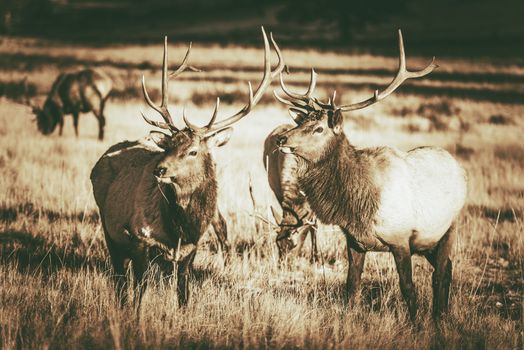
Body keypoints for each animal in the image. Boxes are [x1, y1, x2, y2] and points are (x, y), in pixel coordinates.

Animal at [91, 28, 286, 306]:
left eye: (193, 151)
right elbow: (140, 294)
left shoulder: (191, 250)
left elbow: (184, 293)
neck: (180, 229)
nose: (159, 169)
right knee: (119, 280)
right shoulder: (139, 239)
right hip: (110, 230)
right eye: (167, 147)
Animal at [274, 31, 466, 322]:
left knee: (441, 272)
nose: (282, 139)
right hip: (428, 243)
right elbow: (351, 286)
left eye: (319, 128)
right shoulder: (355, 241)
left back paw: (437, 317)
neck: (358, 205)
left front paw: (415, 323)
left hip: (448, 228)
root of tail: (460, 169)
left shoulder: (401, 239)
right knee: (448, 268)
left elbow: (408, 287)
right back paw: (441, 315)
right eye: (301, 122)